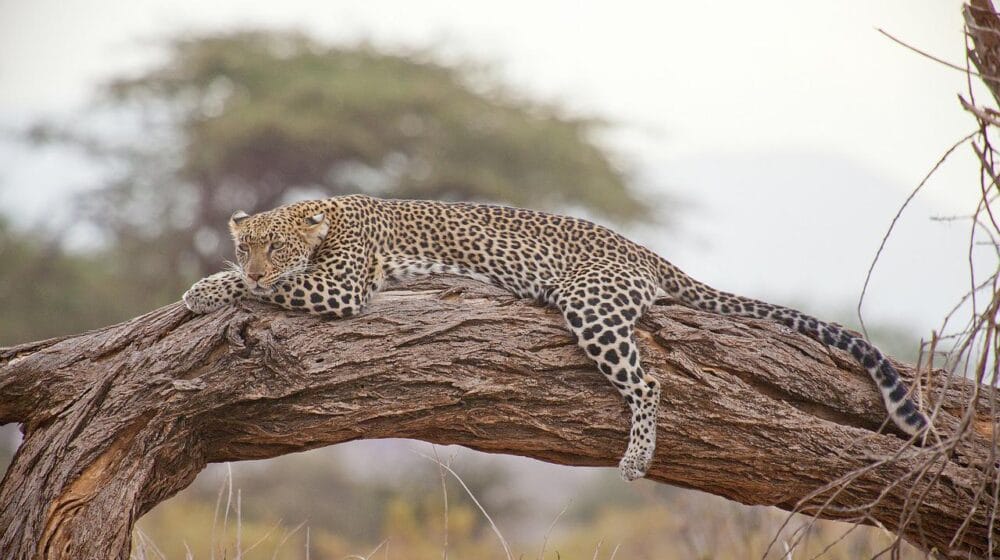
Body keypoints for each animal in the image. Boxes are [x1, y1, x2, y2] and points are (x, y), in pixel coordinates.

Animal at [183, 195, 930, 480]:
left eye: (277, 248)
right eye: (250, 244)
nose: (255, 262)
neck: (327, 217)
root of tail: (646, 253)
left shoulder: (340, 286)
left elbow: (266, 291)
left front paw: (208, 290)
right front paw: (207, 283)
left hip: (589, 304)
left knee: (649, 379)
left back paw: (635, 458)